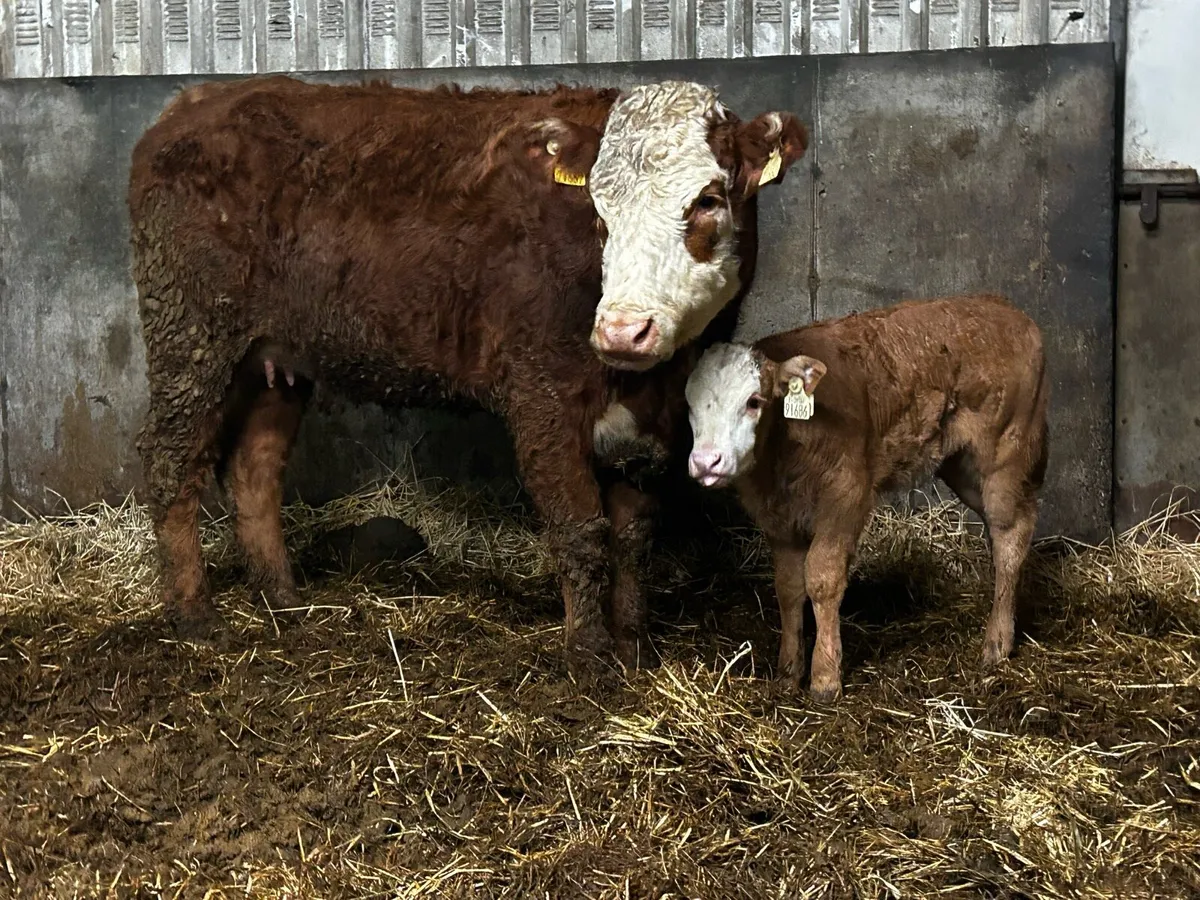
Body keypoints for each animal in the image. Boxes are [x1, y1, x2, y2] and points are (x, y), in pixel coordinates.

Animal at [128, 75, 808, 675]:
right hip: (190, 335)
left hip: (276, 361)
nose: (622, 331)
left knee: (254, 469)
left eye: (708, 201)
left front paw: (634, 648)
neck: (653, 378)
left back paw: (284, 599)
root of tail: (193, 102)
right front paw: (589, 659)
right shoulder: (541, 394)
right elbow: (580, 530)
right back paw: (195, 615)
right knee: (170, 462)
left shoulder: (653, 420)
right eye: (598, 211)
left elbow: (633, 534)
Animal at [684, 295, 1049, 700]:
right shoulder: (779, 519)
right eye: (689, 404)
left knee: (1011, 533)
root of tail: (1007, 309)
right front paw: (788, 673)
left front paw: (825, 678)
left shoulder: (846, 495)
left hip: (1005, 451)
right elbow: (789, 586)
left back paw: (997, 643)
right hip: (962, 465)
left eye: (753, 401)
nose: (706, 461)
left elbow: (822, 578)